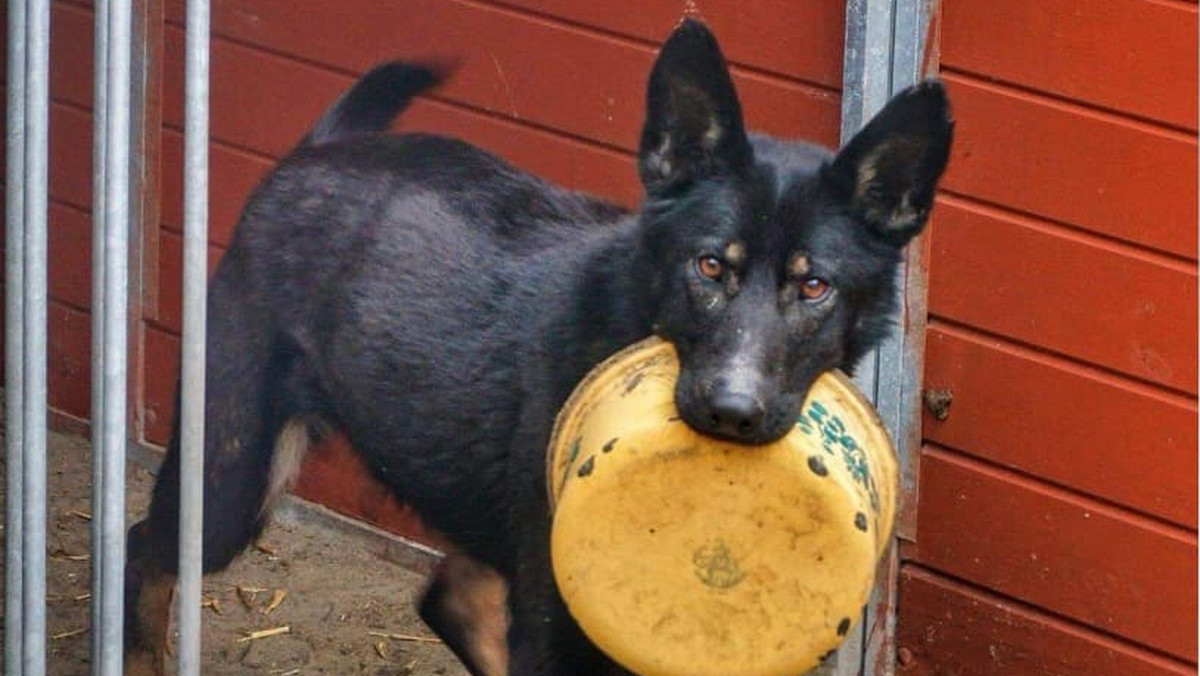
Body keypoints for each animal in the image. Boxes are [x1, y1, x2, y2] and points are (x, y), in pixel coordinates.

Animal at [119, 18, 945, 676]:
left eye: (815, 287)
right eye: (710, 266)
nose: (731, 412)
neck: (630, 315)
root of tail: (314, 153)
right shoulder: (554, 621)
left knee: (450, 595)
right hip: (232, 475)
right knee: (143, 549)